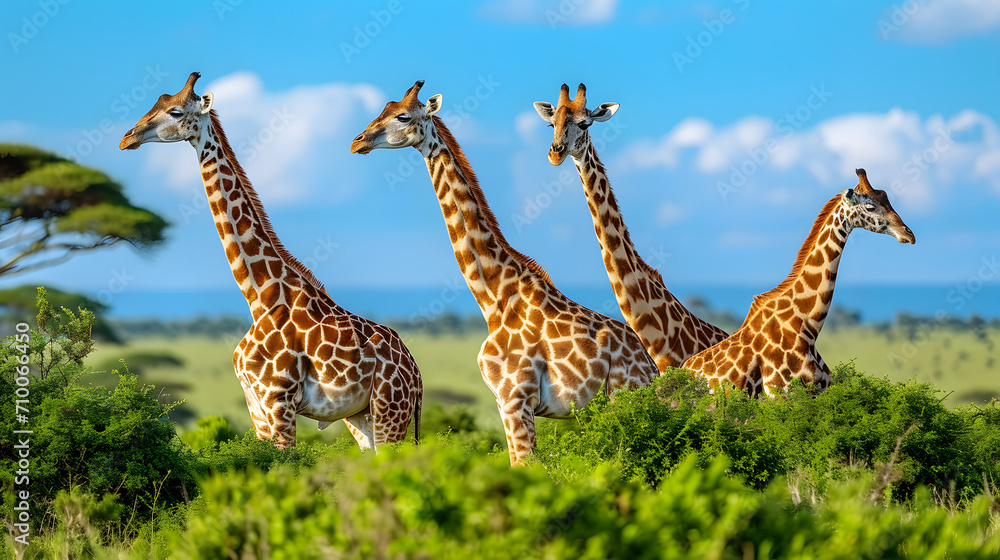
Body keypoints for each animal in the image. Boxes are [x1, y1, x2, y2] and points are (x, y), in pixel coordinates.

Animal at [119, 72, 421, 449]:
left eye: (175, 111)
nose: (127, 137)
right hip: (362, 417)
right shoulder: (256, 406)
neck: (258, 295)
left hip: (390, 413)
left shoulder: (279, 401)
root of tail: (417, 375)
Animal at [350, 81, 658, 464]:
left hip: (621, 396)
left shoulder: (516, 397)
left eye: (403, 116)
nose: (357, 141)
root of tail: (653, 369)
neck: (494, 295)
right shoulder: (502, 402)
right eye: (383, 109)